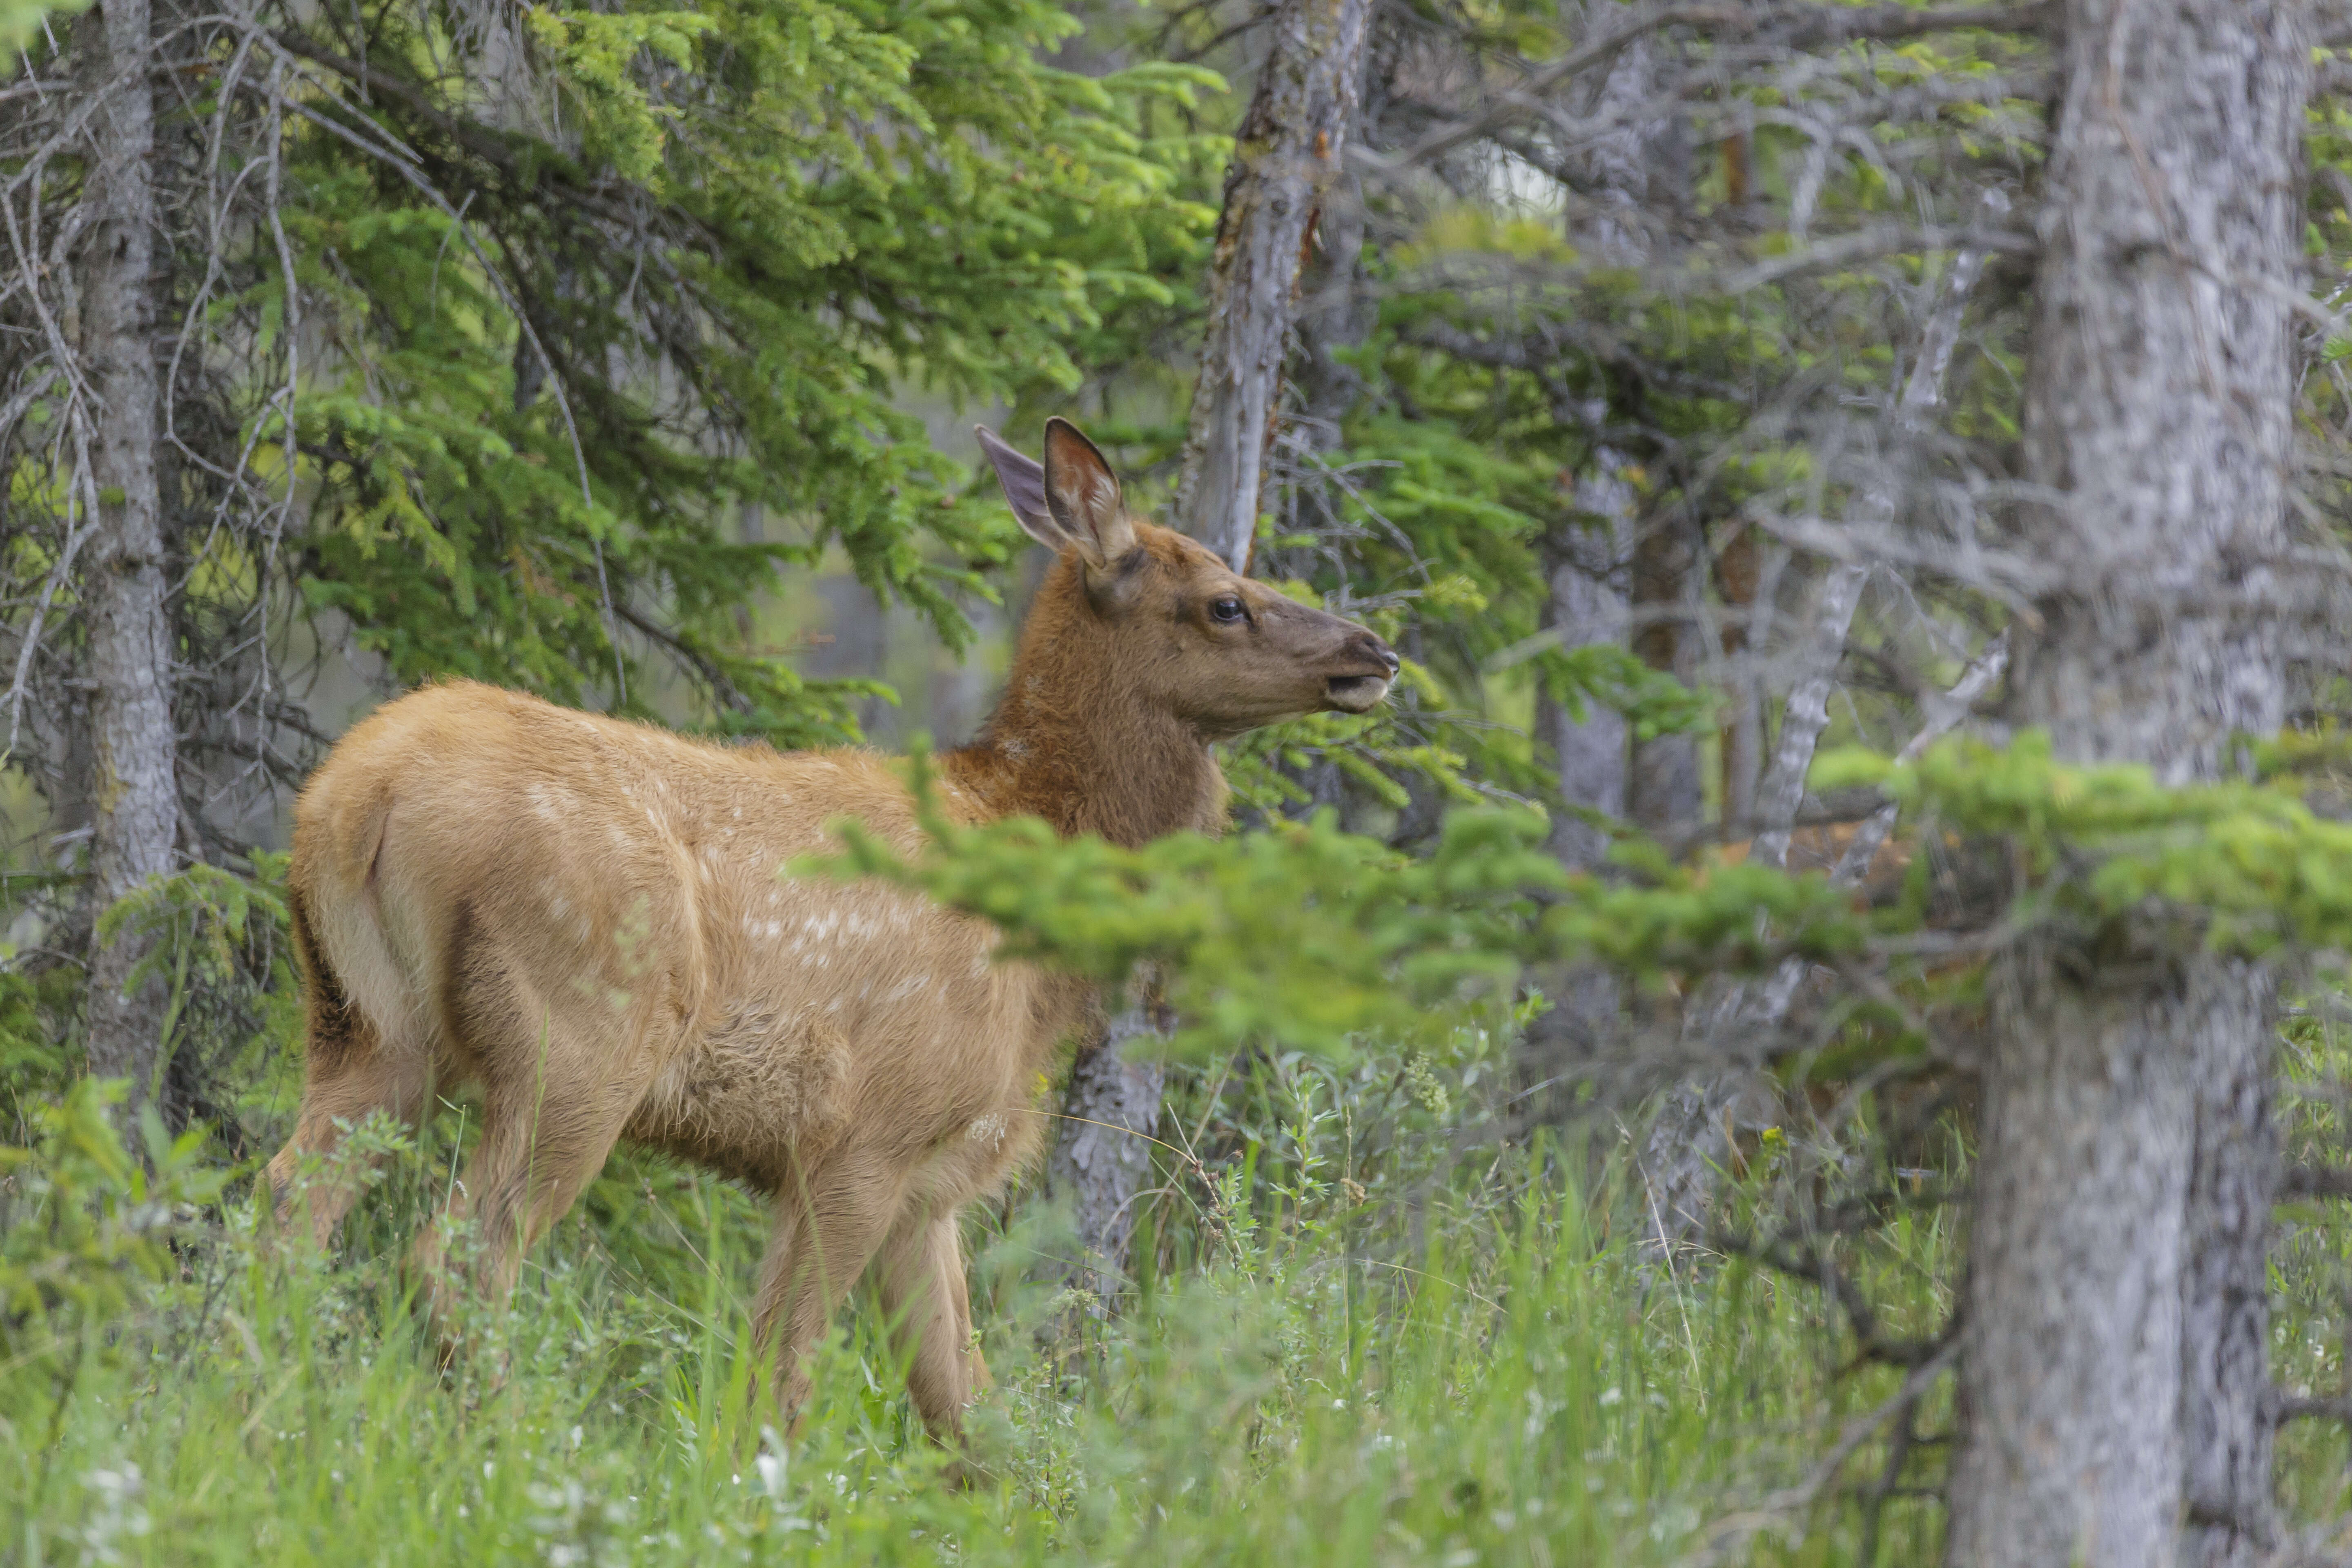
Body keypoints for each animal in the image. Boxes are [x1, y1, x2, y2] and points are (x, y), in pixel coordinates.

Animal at [267, 421, 1392, 1448]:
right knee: (454, 1255)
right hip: (579, 1041)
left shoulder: (931, 1191)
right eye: (1226, 601)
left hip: (365, 1030)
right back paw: (518, 1449)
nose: (1373, 650)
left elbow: (972, 1414)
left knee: (284, 1215)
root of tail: (356, 796)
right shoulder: (862, 1139)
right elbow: (783, 1378)